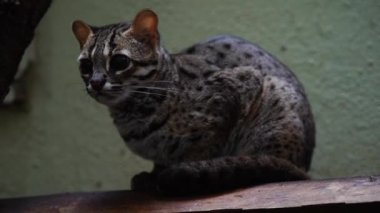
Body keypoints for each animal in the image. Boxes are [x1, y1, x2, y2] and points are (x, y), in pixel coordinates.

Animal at [71, 8, 314, 195]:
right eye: (85, 66)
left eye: (120, 61)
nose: (95, 82)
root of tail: (305, 165)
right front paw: (152, 175)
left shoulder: (236, 88)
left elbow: (203, 149)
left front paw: (189, 168)